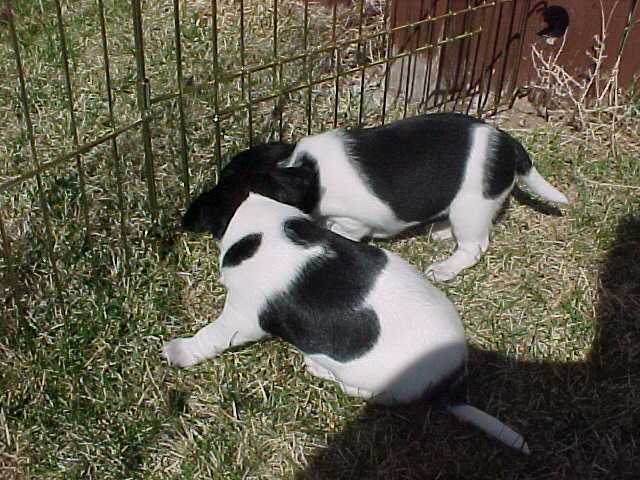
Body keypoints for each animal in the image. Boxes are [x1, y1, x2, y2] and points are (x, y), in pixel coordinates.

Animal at [164, 165, 528, 454]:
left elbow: (209, 336)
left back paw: (319, 367)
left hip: (375, 381)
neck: (258, 216)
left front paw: (179, 351)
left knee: (360, 391)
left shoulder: (242, 315)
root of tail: (452, 382)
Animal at [222, 112, 568, 282]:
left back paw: (446, 268)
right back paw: (441, 231)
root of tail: (508, 143)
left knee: (474, 247)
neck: (307, 170)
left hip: (473, 207)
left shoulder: (351, 223)